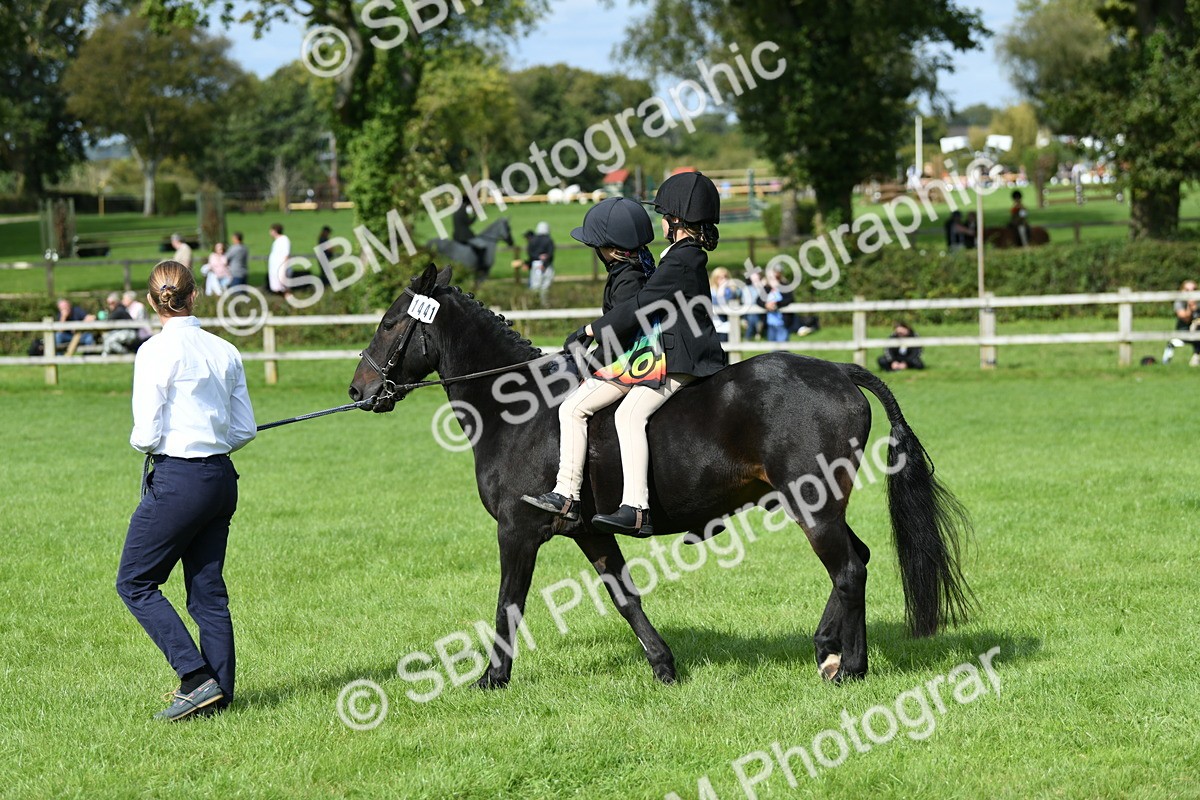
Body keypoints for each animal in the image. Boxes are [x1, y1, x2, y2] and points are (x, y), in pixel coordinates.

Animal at [348, 264, 974, 688]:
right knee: (857, 560)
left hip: (812, 505)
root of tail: (840, 370)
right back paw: (828, 647)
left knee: (848, 570)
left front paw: (491, 678)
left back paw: (850, 667)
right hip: (820, 505)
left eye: (389, 322)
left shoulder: (517, 531)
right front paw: (664, 666)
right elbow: (625, 597)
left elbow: (509, 602)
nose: (358, 390)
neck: (520, 407)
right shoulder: (590, 531)